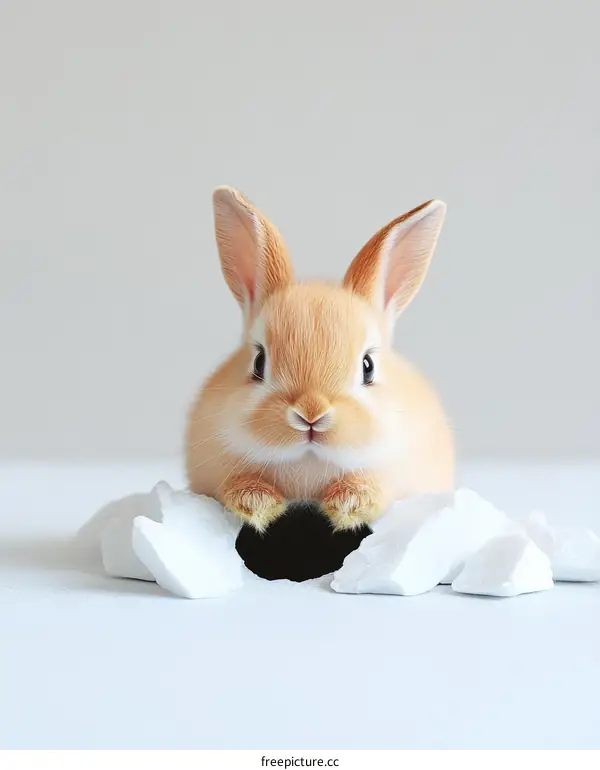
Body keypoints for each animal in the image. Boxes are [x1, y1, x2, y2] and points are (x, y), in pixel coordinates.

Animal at [185, 186, 454, 533]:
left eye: (368, 367)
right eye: (258, 362)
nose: (311, 414)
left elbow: (374, 489)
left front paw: (347, 505)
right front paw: (258, 503)